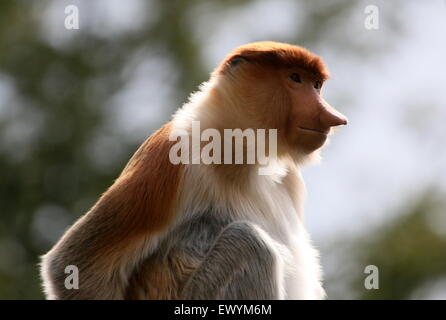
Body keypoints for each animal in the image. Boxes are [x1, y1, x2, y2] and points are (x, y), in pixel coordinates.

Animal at [41, 41, 348, 298]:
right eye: (295, 78)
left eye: (317, 85)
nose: (334, 117)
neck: (241, 148)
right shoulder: (172, 157)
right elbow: (71, 265)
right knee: (248, 241)